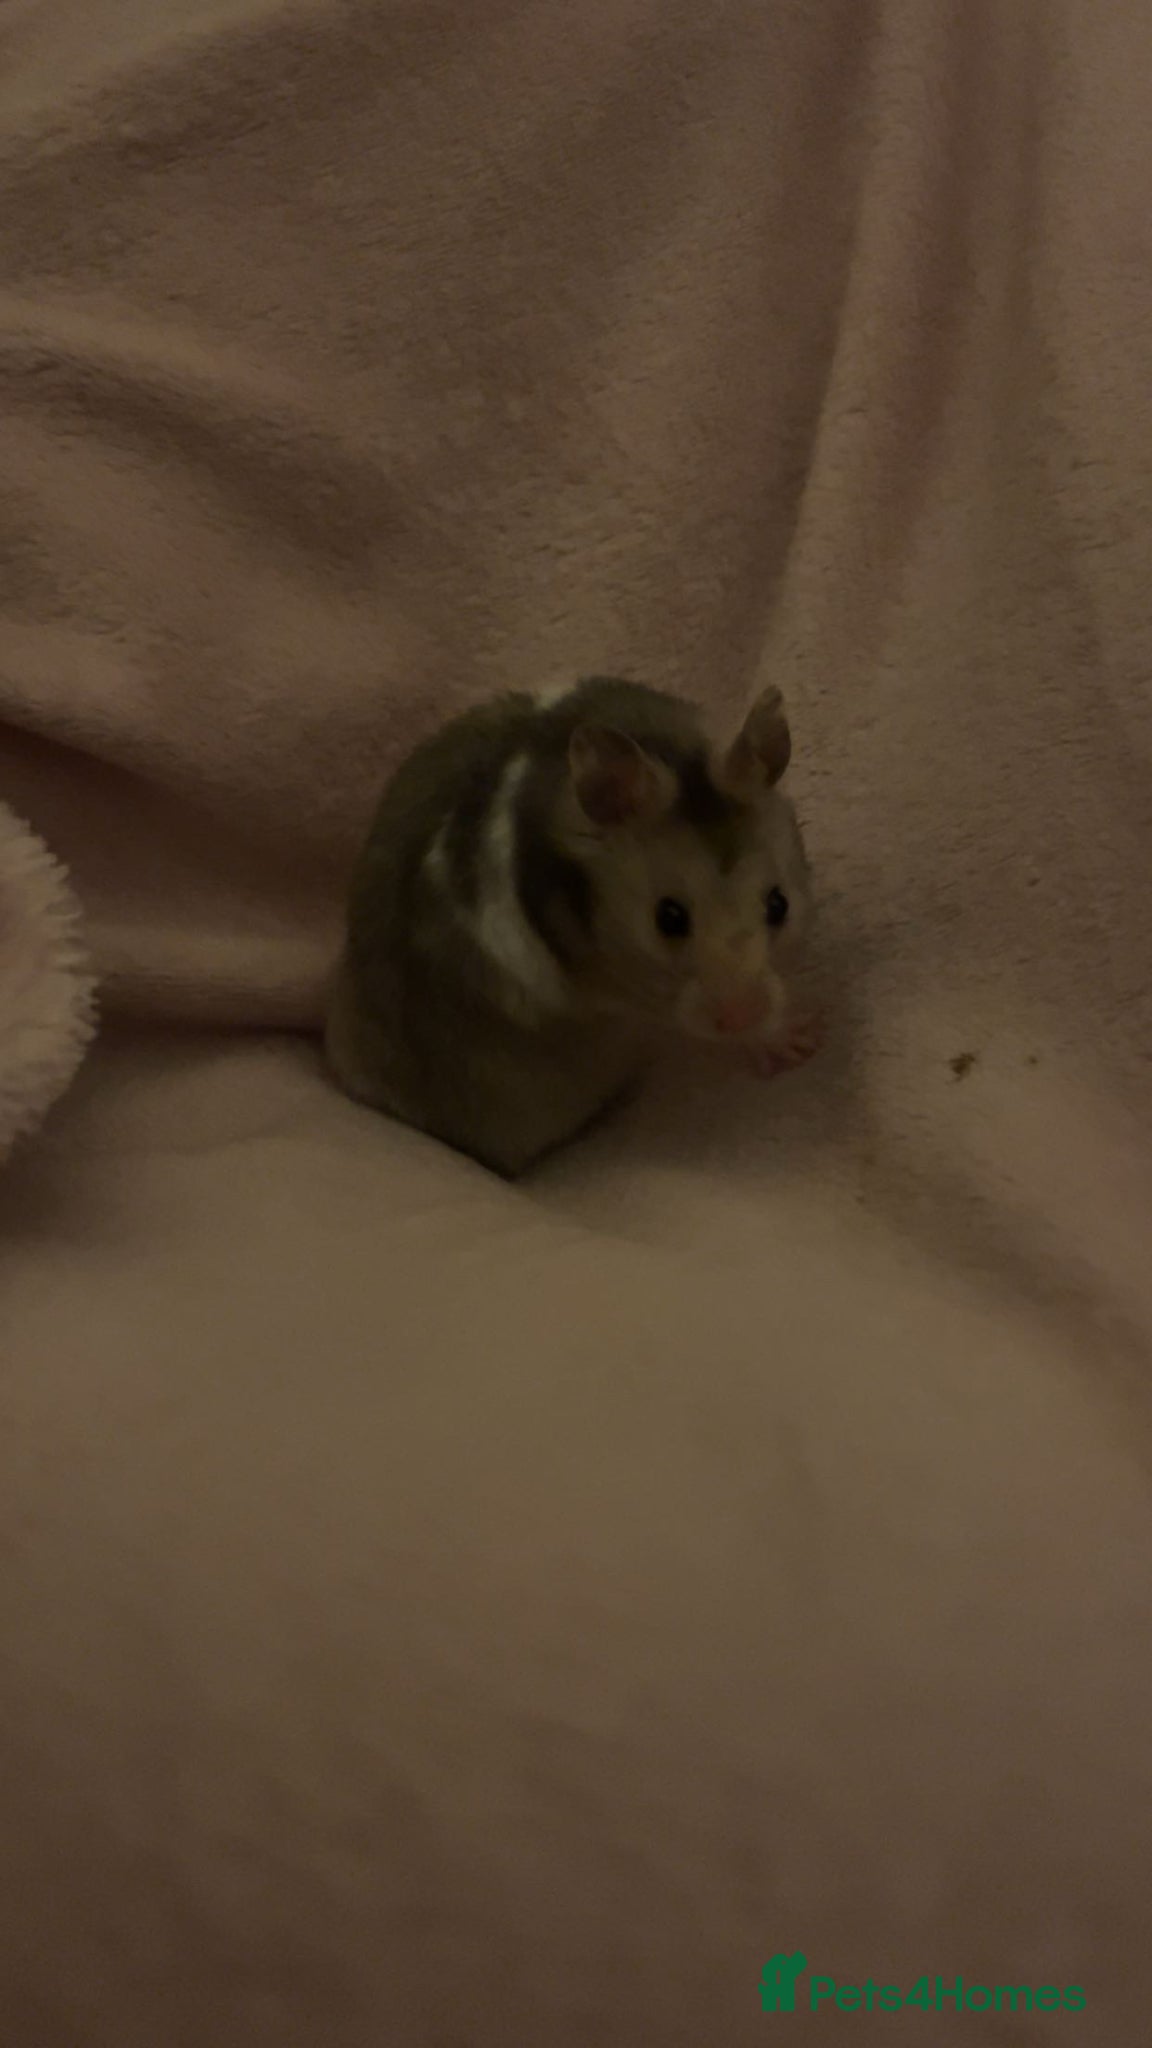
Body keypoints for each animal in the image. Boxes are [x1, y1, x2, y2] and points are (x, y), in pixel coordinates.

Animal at [325, 676, 819, 1178]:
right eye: (668, 918)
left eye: (779, 904)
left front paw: (800, 1042)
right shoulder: (623, 990)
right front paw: (793, 1044)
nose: (743, 1014)